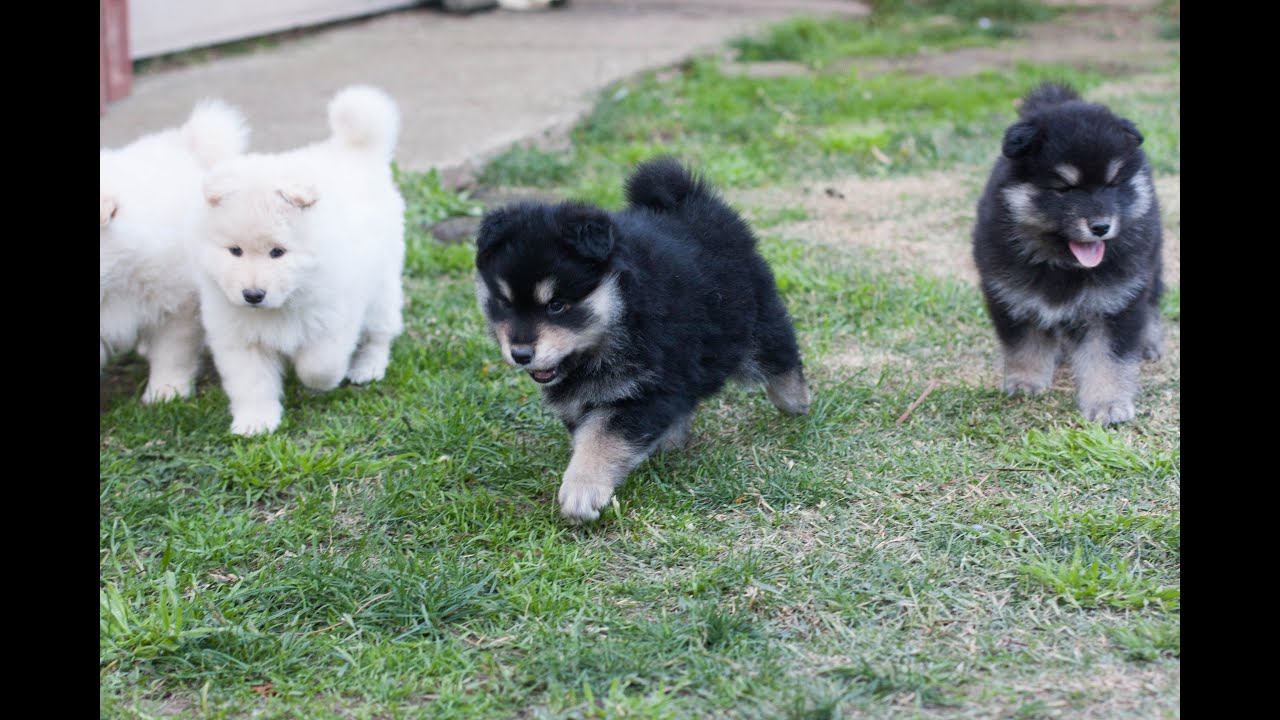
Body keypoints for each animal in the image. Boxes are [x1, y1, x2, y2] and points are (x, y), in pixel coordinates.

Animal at [192, 83, 404, 430]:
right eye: (235, 251)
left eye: (277, 252)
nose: (253, 295)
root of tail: (352, 149)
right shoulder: (239, 336)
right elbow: (252, 384)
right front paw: (255, 422)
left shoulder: (334, 319)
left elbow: (319, 365)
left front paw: (318, 382)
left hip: (382, 289)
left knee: (380, 334)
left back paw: (367, 368)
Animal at [471, 156, 808, 517]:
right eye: (504, 303)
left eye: (557, 305)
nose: (520, 354)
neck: (620, 312)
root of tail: (691, 201)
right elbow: (587, 433)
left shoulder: (647, 386)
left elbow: (603, 437)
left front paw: (582, 487)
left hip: (752, 318)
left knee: (779, 354)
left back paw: (795, 400)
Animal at [972, 81, 1167, 422]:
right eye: (1064, 189)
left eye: (1112, 184)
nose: (1101, 226)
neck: (1062, 264)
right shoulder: (1012, 296)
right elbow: (1025, 343)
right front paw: (1026, 381)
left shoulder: (1114, 302)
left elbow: (1107, 358)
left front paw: (1108, 403)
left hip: (1152, 263)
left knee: (1152, 302)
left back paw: (1149, 340)